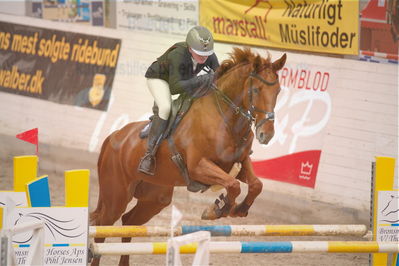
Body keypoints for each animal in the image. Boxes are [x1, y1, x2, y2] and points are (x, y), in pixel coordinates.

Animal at [90, 47, 288, 266]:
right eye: (256, 90)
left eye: (278, 91)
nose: (266, 135)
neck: (226, 119)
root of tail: (113, 137)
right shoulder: (198, 167)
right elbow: (233, 185)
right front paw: (216, 210)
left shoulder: (240, 163)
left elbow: (255, 185)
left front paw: (239, 209)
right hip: (116, 195)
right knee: (103, 227)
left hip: (155, 199)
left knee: (128, 223)